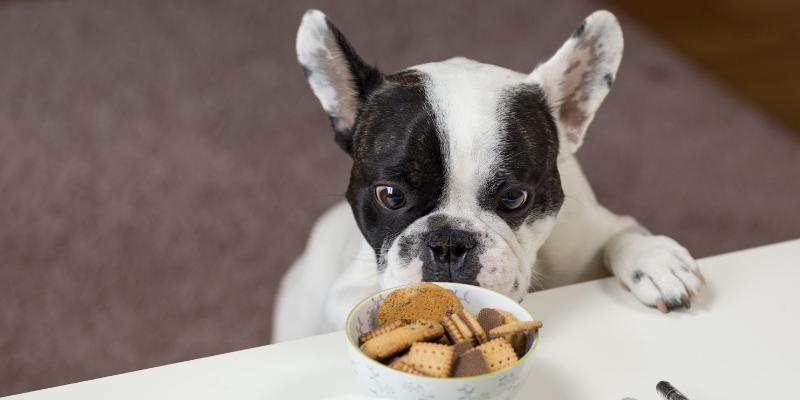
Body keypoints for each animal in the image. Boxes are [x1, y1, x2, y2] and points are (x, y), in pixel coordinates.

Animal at [272, 9, 704, 342]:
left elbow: (623, 234)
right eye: (390, 196)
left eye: (513, 199)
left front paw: (655, 260)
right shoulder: (345, 290)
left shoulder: (593, 231)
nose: (448, 242)